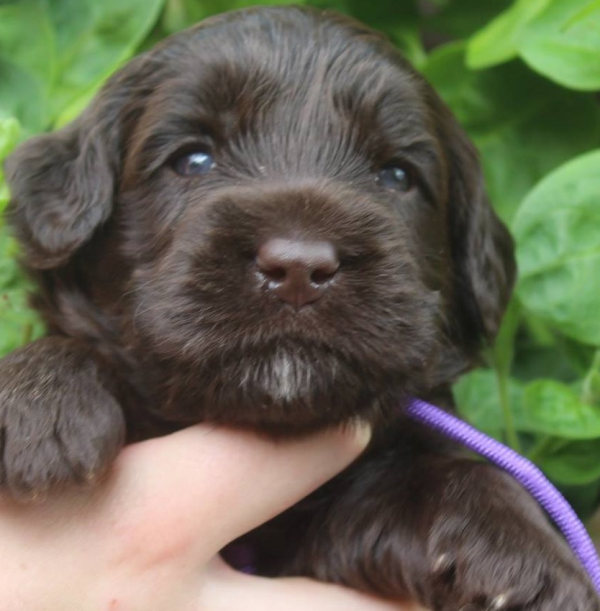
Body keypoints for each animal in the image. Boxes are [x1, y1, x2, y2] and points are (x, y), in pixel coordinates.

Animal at [0, 5, 596, 611]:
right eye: (193, 159)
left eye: (398, 175)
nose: (298, 269)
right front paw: (39, 400)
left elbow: (433, 476)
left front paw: (525, 554)